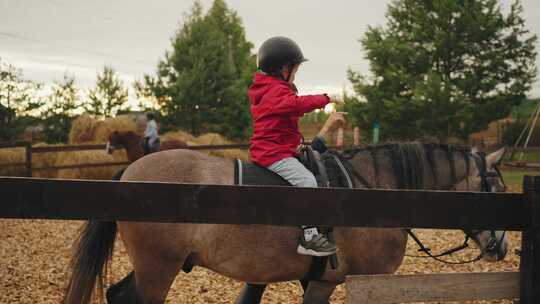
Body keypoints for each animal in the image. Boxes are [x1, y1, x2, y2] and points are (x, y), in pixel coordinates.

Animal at [64, 142, 510, 304]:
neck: (375, 192)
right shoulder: (353, 282)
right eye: (500, 189)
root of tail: (131, 170)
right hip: (158, 266)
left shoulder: (315, 280)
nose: (503, 246)